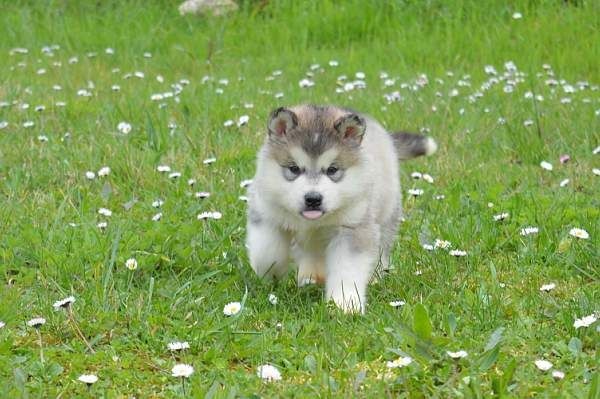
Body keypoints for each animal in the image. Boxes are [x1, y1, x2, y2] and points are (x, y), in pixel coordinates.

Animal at [244, 104, 436, 314]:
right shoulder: (266, 213)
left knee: (381, 250)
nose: (313, 199)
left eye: (332, 170)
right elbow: (267, 253)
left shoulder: (352, 228)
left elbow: (347, 269)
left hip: (385, 214)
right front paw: (273, 273)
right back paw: (311, 277)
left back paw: (374, 277)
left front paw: (345, 303)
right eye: (294, 168)